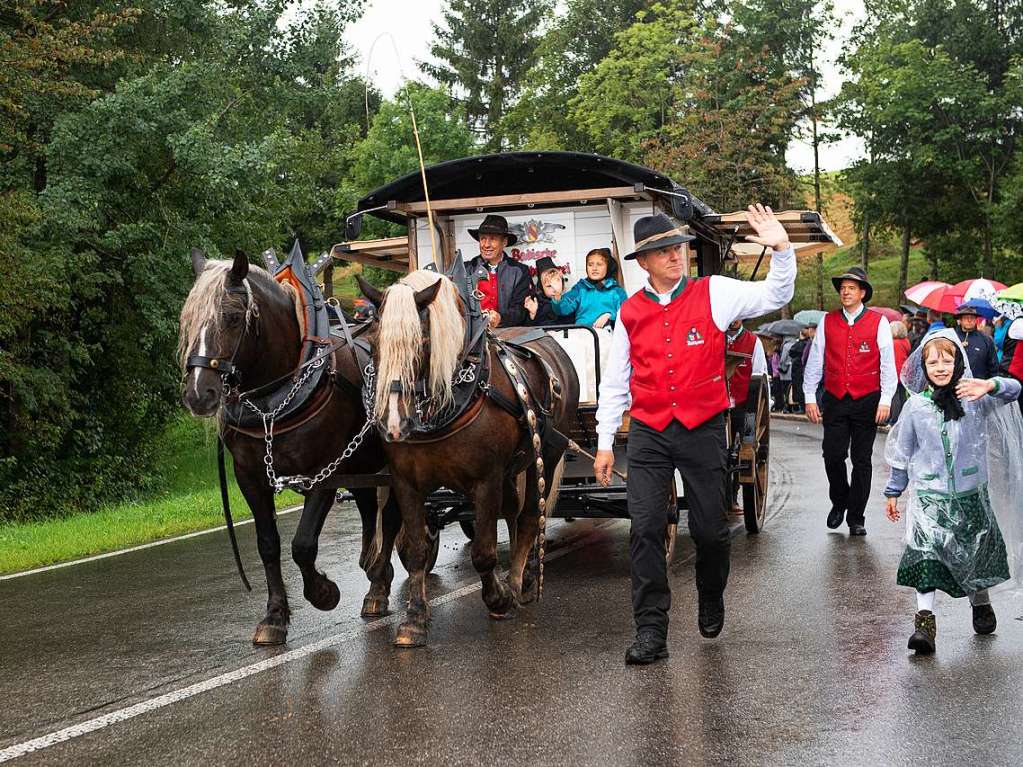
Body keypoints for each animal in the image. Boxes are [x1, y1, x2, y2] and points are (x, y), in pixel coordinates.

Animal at [178, 249, 401, 646]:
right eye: (187, 320)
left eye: (231, 317)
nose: (198, 394)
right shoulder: (249, 477)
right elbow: (269, 543)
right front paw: (274, 617)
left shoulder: (324, 472)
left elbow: (303, 543)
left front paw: (324, 593)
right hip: (363, 462)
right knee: (368, 510)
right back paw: (374, 570)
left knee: (390, 517)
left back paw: (376, 587)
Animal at [358, 269, 581, 650]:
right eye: (373, 344)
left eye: (422, 342)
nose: (393, 425)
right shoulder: (406, 483)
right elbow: (416, 550)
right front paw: (414, 619)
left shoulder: (485, 481)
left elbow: (483, 551)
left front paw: (499, 598)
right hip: (513, 470)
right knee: (515, 513)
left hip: (547, 457)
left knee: (530, 516)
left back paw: (521, 581)